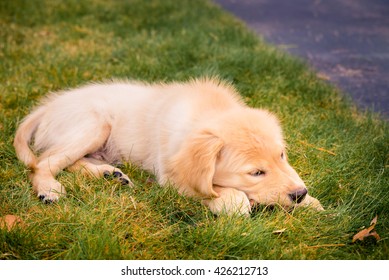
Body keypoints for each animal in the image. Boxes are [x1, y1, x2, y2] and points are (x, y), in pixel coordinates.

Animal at [13, 78, 322, 214]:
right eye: (256, 173)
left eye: (282, 156)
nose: (299, 194)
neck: (206, 111)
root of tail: (49, 106)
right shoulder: (172, 179)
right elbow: (218, 192)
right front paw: (234, 201)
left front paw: (312, 203)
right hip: (93, 124)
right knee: (42, 163)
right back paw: (49, 189)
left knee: (68, 161)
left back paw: (110, 174)